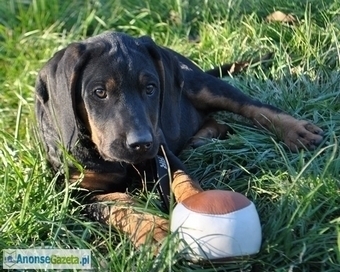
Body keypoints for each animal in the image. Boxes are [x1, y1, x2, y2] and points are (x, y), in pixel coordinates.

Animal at [35, 31, 324, 249]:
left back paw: (296, 130)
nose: (141, 143)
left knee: (251, 106)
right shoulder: (78, 192)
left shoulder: (162, 153)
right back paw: (202, 138)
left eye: (150, 88)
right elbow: (120, 205)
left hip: (199, 85)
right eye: (99, 92)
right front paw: (154, 231)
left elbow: (185, 182)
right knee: (216, 121)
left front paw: (201, 206)